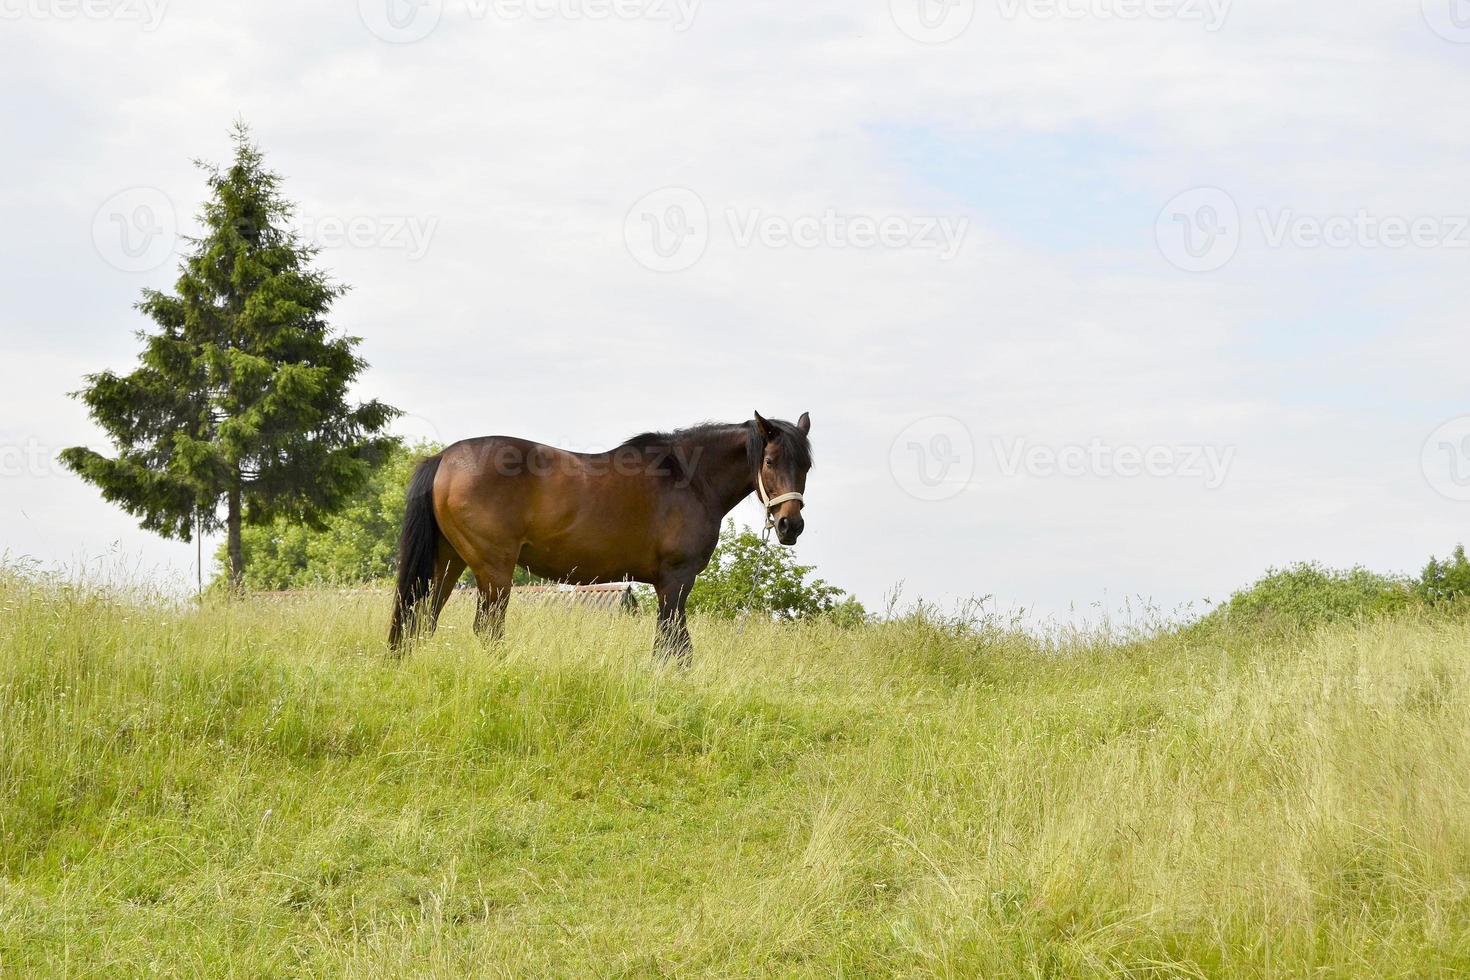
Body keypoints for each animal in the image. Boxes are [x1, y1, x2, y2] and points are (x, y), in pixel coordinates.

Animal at [385, 411, 811, 664]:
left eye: (806, 465)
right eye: (769, 461)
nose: (790, 525)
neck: (688, 479)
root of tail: (443, 458)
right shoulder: (676, 580)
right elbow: (675, 645)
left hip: (447, 561)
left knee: (420, 619)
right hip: (493, 569)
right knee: (487, 629)